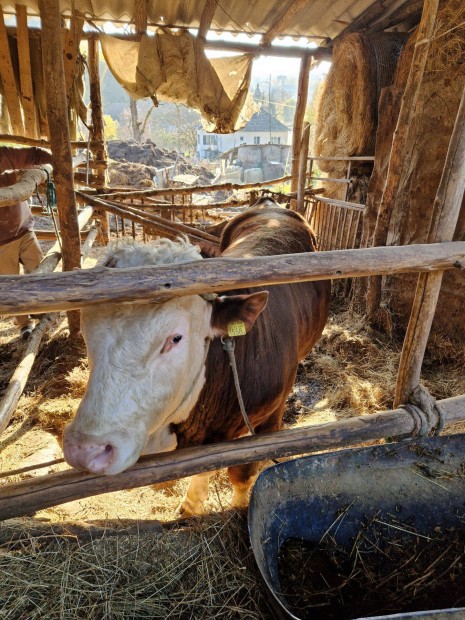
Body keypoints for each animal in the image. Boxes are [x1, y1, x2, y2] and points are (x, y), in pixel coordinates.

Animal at [63, 201, 330, 516]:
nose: (85, 450)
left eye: (176, 338)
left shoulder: (267, 422)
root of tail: (272, 206)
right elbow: (200, 468)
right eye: (87, 331)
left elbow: (241, 473)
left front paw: (238, 507)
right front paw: (190, 506)